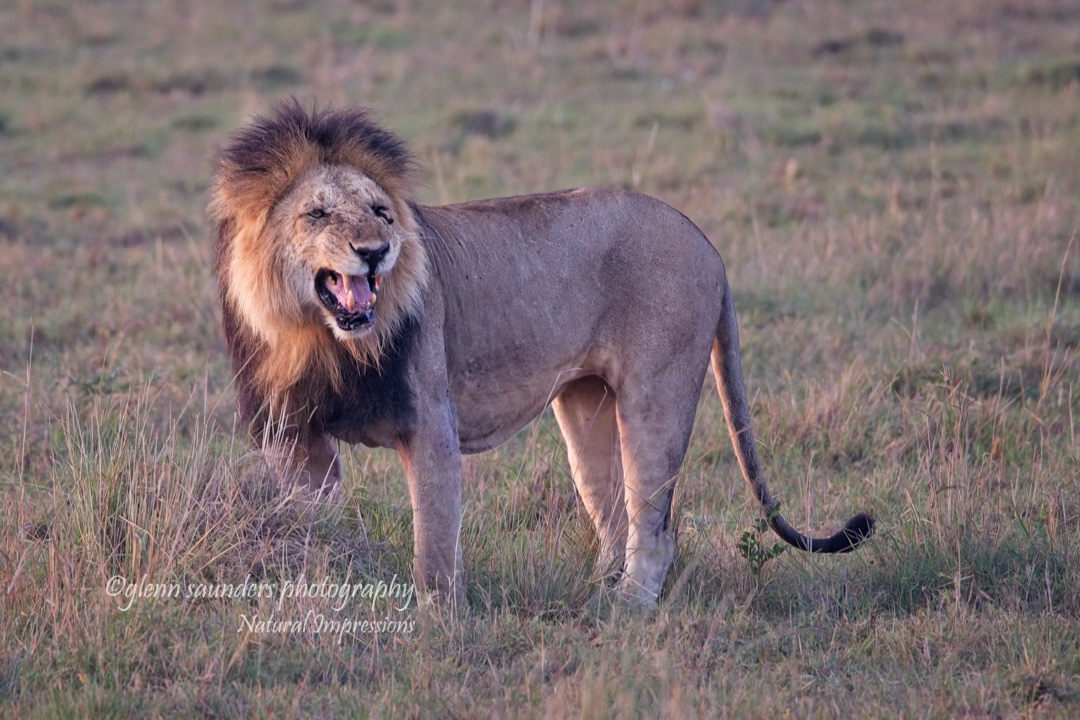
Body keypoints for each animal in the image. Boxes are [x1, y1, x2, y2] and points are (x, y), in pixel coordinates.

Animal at [210, 100, 874, 607]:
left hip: (656, 395)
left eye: (380, 212)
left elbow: (434, 548)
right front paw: (321, 600)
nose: (374, 251)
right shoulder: (297, 437)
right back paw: (593, 593)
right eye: (317, 213)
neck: (321, 339)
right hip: (585, 406)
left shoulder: (431, 424)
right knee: (614, 517)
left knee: (655, 527)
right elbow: (316, 530)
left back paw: (623, 612)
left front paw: (436, 626)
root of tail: (705, 239)